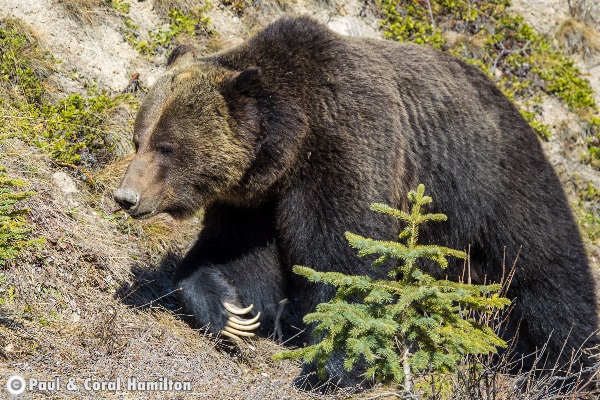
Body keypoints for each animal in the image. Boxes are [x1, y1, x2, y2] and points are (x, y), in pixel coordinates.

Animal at [115, 15, 596, 390]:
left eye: (167, 146)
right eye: (139, 139)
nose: (125, 197)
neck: (293, 147)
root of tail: (508, 99)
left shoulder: (347, 149)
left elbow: (348, 258)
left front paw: (337, 363)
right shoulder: (255, 203)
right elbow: (235, 259)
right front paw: (232, 312)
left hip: (492, 181)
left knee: (547, 272)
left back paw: (568, 366)